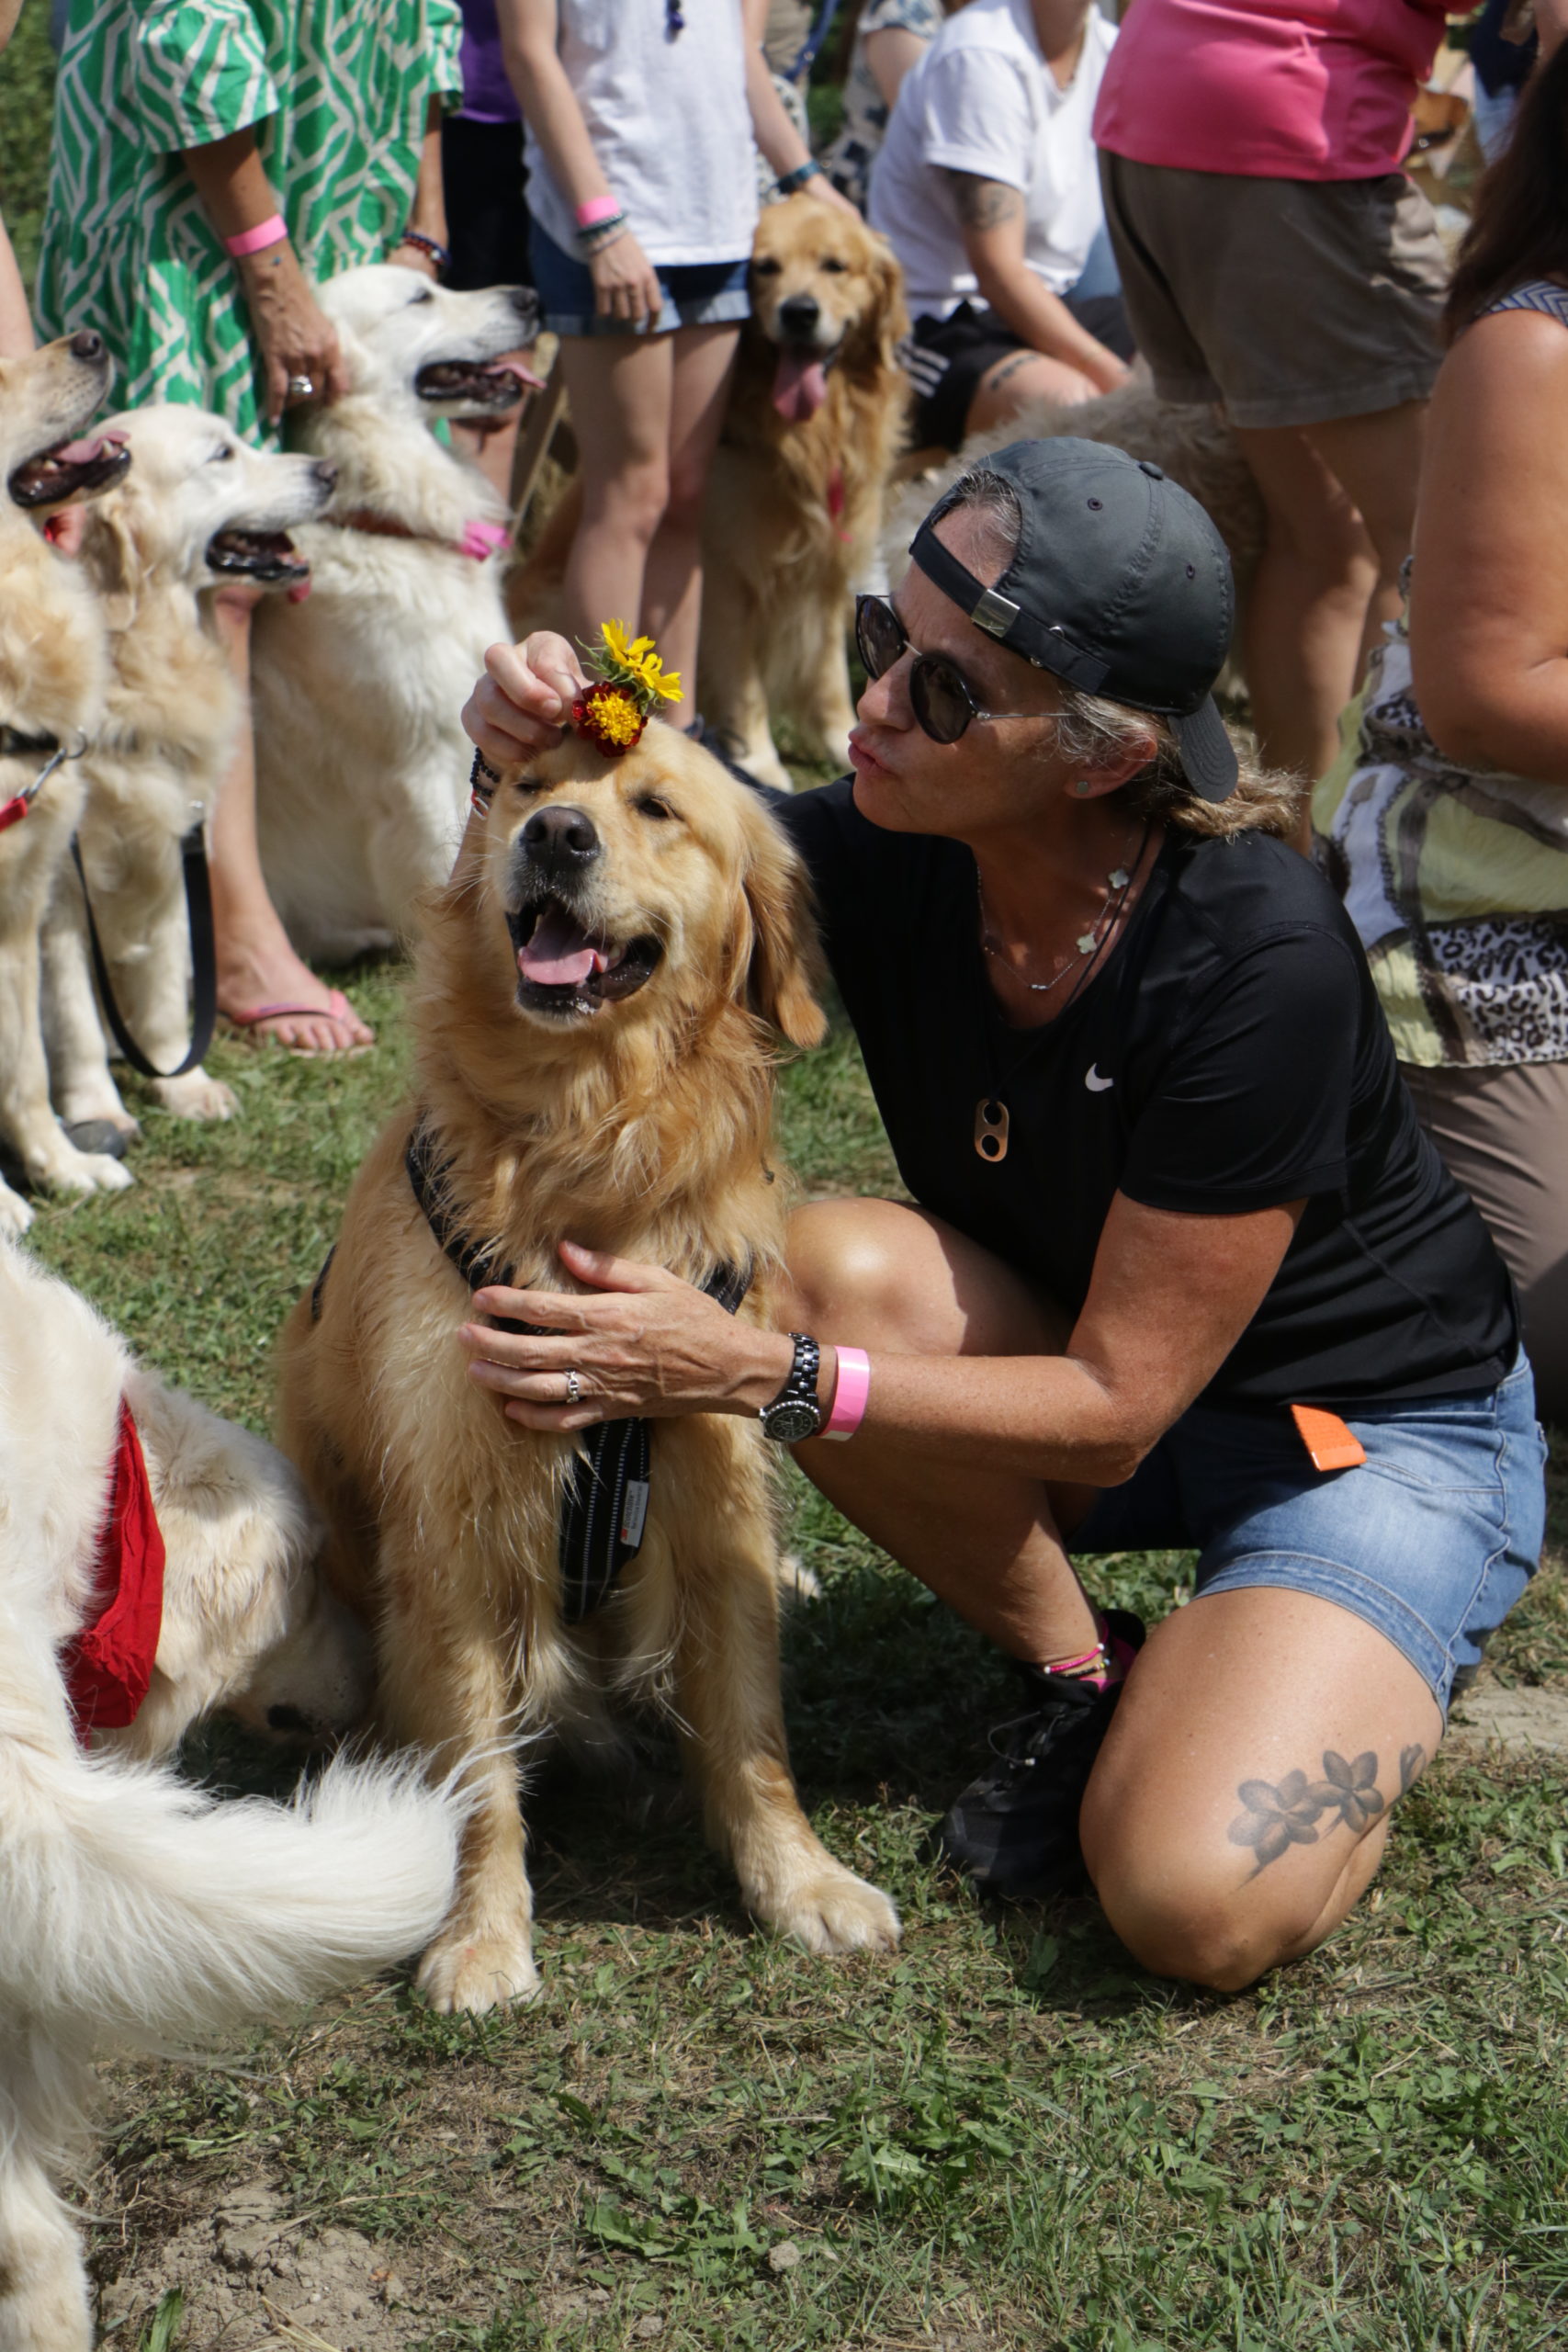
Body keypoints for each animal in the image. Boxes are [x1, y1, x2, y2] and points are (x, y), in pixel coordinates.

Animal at [41, 404, 337, 1137]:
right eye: (222, 454)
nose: (330, 470)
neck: (138, 664)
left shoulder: (175, 854)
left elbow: (169, 993)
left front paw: (184, 1082)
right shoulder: (59, 885)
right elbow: (74, 1016)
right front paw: (98, 1109)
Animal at [278, 718, 901, 2013]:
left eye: (656, 807)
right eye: (524, 784)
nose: (557, 835)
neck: (582, 1133)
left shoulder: (713, 1486)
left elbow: (753, 1732)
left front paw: (800, 1882)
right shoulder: (452, 1524)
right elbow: (473, 1777)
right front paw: (479, 1935)